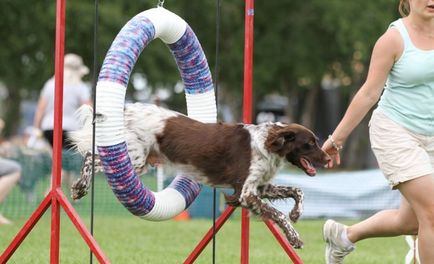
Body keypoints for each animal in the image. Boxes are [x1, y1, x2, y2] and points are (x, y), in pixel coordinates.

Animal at [69, 103, 330, 248]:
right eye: (310, 144)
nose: (328, 158)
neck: (267, 145)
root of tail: (125, 109)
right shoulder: (245, 193)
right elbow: (278, 214)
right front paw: (294, 237)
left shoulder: (260, 187)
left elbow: (297, 191)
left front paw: (296, 213)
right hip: (135, 158)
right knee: (91, 157)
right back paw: (79, 187)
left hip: (139, 161)